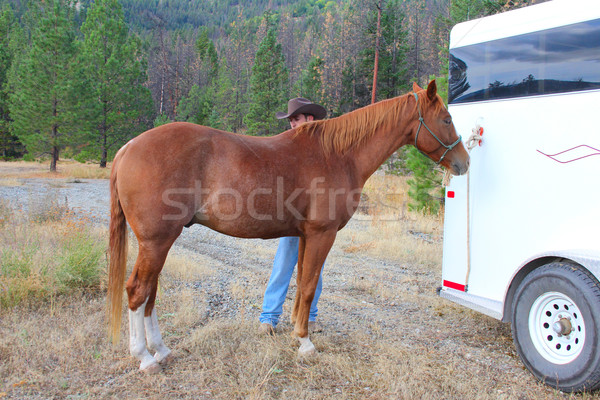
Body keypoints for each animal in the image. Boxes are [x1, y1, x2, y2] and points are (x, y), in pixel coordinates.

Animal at [108, 80, 472, 372]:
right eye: (447, 119)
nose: (464, 163)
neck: (338, 154)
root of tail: (127, 148)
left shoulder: (303, 236)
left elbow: (300, 284)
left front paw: (298, 330)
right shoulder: (322, 235)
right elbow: (309, 287)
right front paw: (305, 343)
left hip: (160, 242)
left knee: (150, 292)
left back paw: (161, 350)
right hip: (157, 241)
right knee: (138, 291)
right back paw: (144, 358)